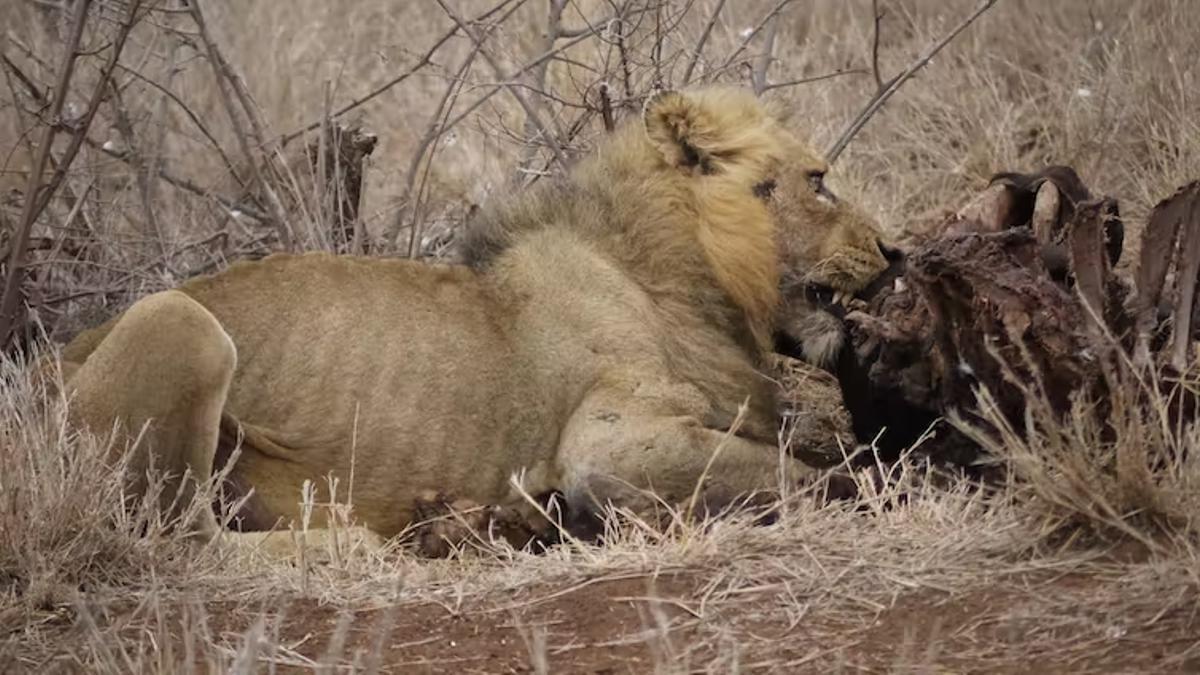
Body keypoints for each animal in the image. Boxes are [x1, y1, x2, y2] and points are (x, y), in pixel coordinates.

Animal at [57, 86, 890, 554]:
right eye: (818, 180)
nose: (896, 250)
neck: (679, 276)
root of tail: (48, 360)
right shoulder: (610, 444)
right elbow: (807, 474)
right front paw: (891, 478)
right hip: (178, 318)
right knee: (180, 541)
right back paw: (363, 545)